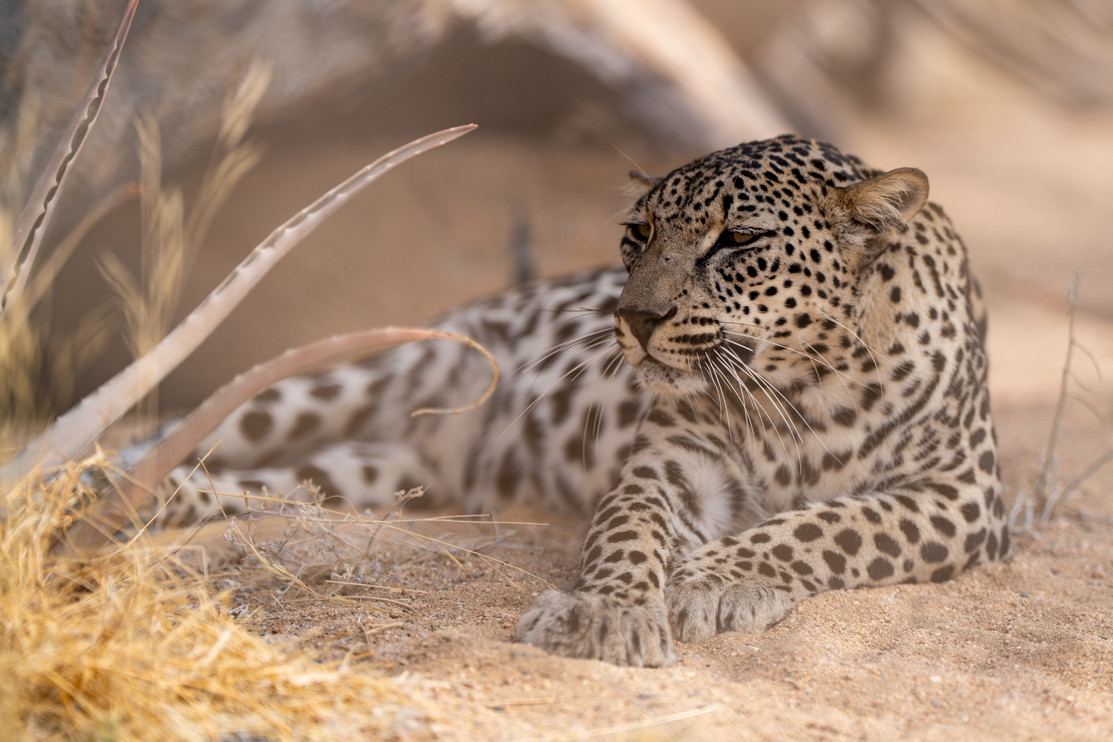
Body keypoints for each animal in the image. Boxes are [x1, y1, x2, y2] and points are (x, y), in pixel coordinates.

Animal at [160, 134, 1007, 667]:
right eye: (639, 232)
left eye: (736, 240)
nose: (633, 318)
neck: (797, 386)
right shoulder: (670, 465)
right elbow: (627, 532)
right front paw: (606, 613)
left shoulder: (962, 495)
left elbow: (825, 525)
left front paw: (710, 580)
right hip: (338, 383)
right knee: (186, 436)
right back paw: (130, 490)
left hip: (371, 473)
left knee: (260, 485)